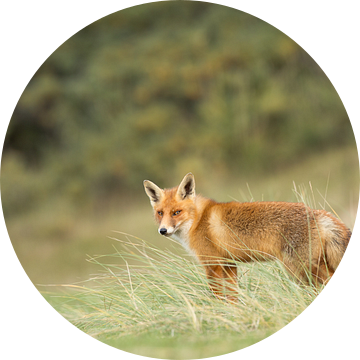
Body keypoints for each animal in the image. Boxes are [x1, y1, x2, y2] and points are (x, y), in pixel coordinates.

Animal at [143, 172, 352, 300]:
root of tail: (316, 213)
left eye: (176, 213)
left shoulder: (213, 265)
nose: (163, 230)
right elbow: (233, 296)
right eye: (160, 213)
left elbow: (217, 296)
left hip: (300, 268)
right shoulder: (228, 264)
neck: (198, 220)